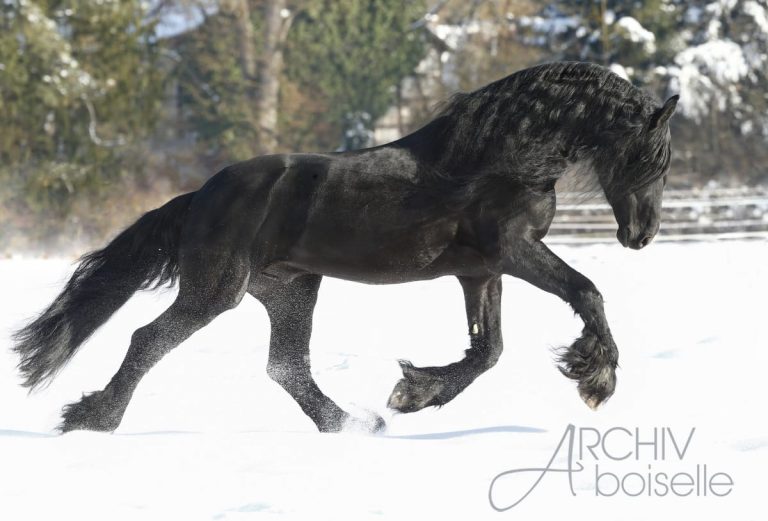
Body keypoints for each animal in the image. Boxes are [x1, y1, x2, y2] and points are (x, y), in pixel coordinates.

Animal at [13, 61, 680, 432]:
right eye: (649, 157)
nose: (642, 235)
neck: (502, 159)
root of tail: (202, 194)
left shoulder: (482, 272)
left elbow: (487, 350)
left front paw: (413, 393)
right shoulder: (515, 253)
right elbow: (586, 292)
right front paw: (596, 379)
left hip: (291, 289)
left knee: (286, 366)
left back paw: (353, 424)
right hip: (216, 290)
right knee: (148, 340)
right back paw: (92, 419)